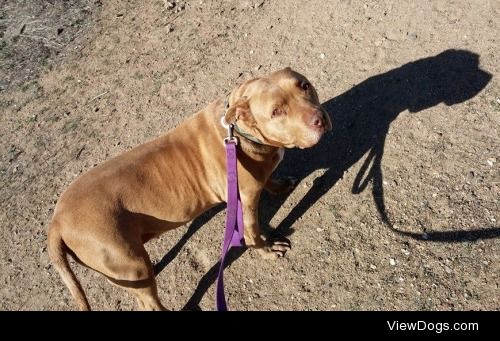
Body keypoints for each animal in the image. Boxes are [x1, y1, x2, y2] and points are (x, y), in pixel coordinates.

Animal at [47, 67, 332, 310]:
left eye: (304, 85)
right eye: (276, 111)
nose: (319, 119)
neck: (238, 132)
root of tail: (57, 223)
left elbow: (270, 179)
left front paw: (280, 184)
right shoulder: (247, 199)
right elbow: (253, 232)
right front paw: (266, 249)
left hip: (128, 269)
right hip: (131, 262)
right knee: (150, 303)